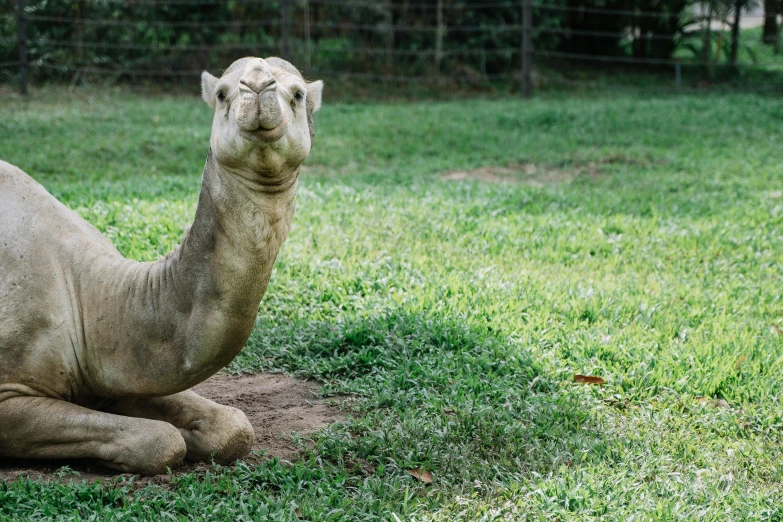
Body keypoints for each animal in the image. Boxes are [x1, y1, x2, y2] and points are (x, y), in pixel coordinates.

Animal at [0, 55, 324, 472]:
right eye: (223, 93)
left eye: (298, 94)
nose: (256, 86)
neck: (88, 298)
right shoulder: (8, 391)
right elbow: (161, 440)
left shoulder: (104, 375)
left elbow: (234, 427)